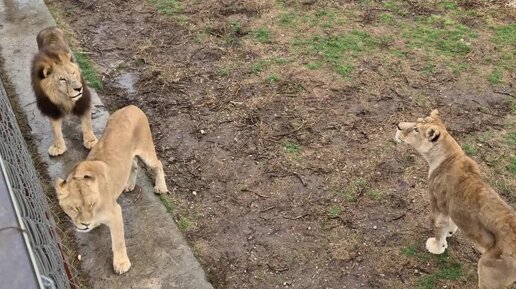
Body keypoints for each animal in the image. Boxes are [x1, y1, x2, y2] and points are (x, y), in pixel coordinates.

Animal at [30, 27, 98, 155]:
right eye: (62, 79)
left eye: (73, 73)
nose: (79, 88)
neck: (63, 97)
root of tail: (49, 28)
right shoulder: (50, 106)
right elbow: (55, 129)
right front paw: (58, 146)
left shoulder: (83, 99)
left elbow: (87, 122)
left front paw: (91, 141)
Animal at [55, 104, 167, 274]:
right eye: (75, 208)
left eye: (91, 204)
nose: (85, 225)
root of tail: (131, 106)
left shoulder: (115, 212)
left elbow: (118, 241)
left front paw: (121, 264)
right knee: (133, 164)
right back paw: (129, 185)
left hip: (147, 151)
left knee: (158, 164)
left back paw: (161, 187)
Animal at [396, 109, 512, 286]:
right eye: (417, 121)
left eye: (416, 129)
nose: (398, 125)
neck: (448, 156)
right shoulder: (450, 208)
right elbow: (449, 223)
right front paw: (450, 232)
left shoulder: (437, 206)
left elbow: (438, 229)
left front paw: (436, 247)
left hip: (488, 272)